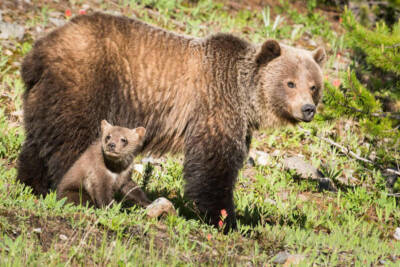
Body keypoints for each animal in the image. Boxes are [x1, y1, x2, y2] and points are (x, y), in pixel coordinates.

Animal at [18, 12, 324, 230]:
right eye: (290, 82)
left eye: (313, 86)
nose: (308, 109)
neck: (245, 95)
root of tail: (39, 50)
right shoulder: (215, 106)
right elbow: (214, 165)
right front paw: (224, 218)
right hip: (86, 82)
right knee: (74, 141)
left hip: (45, 95)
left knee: (39, 140)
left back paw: (32, 184)